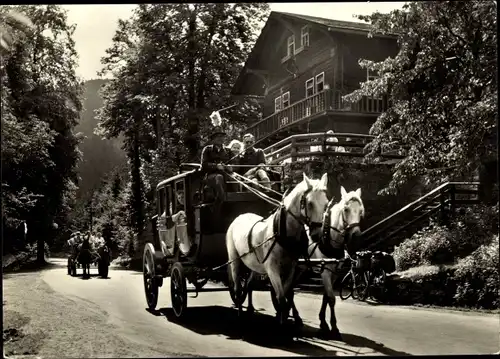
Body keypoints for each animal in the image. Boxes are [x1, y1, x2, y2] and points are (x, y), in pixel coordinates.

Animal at [226, 173, 328, 328]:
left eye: (326, 204)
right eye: (309, 203)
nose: (317, 235)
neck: (284, 234)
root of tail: (239, 216)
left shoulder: (290, 269)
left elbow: (286, 296)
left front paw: (282, 317)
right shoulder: (272, 269)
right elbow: (281, 298)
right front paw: (282, 323)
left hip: (254, 265)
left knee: (249, 285)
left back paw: (249, 308)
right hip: (235, 260)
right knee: (238, 287)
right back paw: (239, 312)